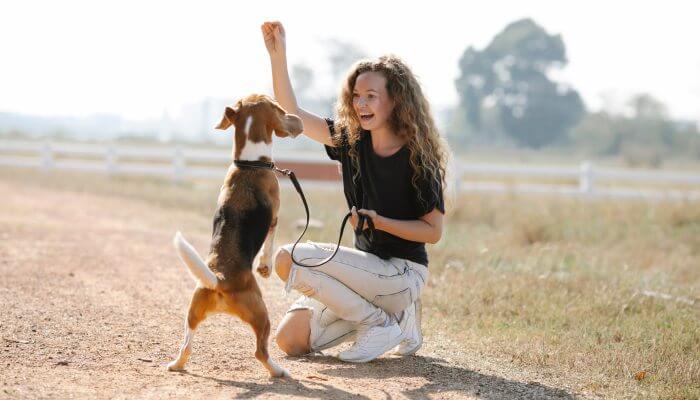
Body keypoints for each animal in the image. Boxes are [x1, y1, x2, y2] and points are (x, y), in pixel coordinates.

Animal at [168, 94, 304, 378]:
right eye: (279, 109)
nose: (298, 119)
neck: (249, 164)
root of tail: (220, 279)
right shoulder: (275, 216)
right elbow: (269, 245)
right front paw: (265, 267)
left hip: (192, 312)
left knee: (186, 345)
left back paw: (176, 364)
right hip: (262, 314)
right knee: (260, 352)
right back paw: (278, 371)